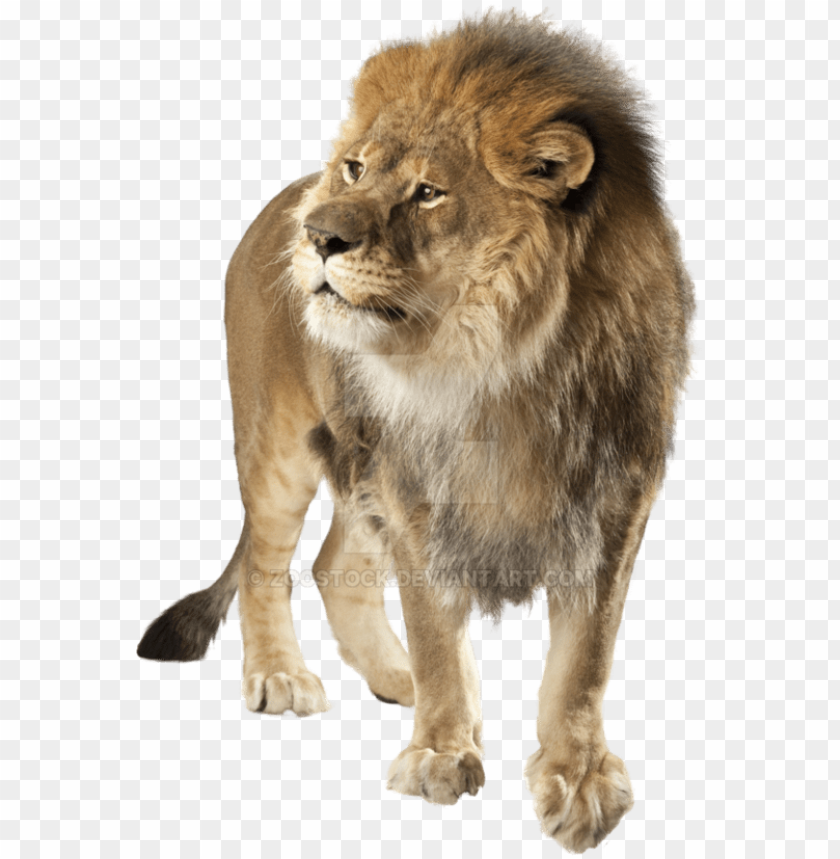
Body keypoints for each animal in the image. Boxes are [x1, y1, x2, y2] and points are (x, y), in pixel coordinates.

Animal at [137, 11, 693, 852]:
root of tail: (282, 198)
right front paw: (440, 753)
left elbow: (584, 658)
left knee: (336, 565)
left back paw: (396, 679)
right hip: (279, 443)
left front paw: (578, 778)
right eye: (357, 170)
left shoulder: (612, 500)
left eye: (429, 192)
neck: (496, 370)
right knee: (271, 566)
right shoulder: (415, 487)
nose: (318, 236)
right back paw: (281, 675)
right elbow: (434, 628)